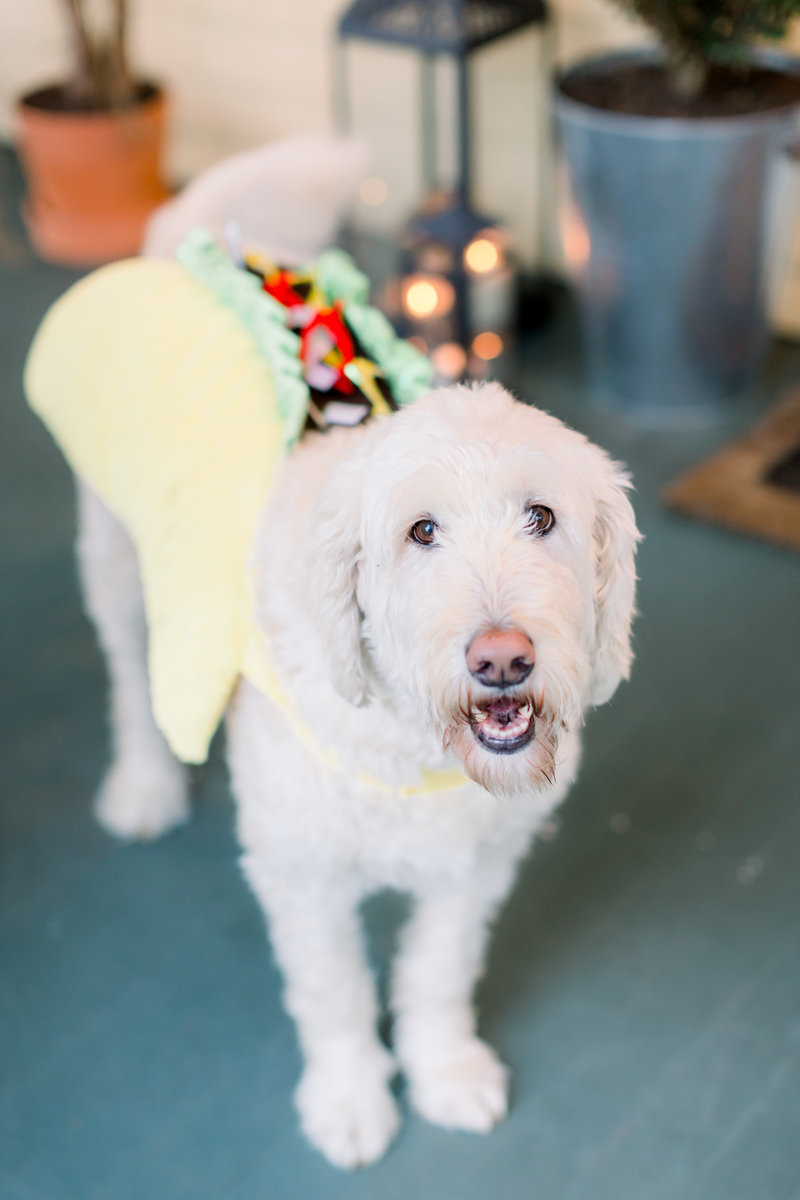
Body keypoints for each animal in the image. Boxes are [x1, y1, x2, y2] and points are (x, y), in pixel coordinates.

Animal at [74, 379, 638, 1166]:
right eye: (422, 531)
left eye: (541, 517)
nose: (502, 659)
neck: (412, 743)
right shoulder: (301, 875)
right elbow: (333, 993)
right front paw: (348, 1099)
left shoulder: (478, 862)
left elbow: (439, 969)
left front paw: (445, 1069)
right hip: (117, 553)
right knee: (132, 670)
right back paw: (145, 785)